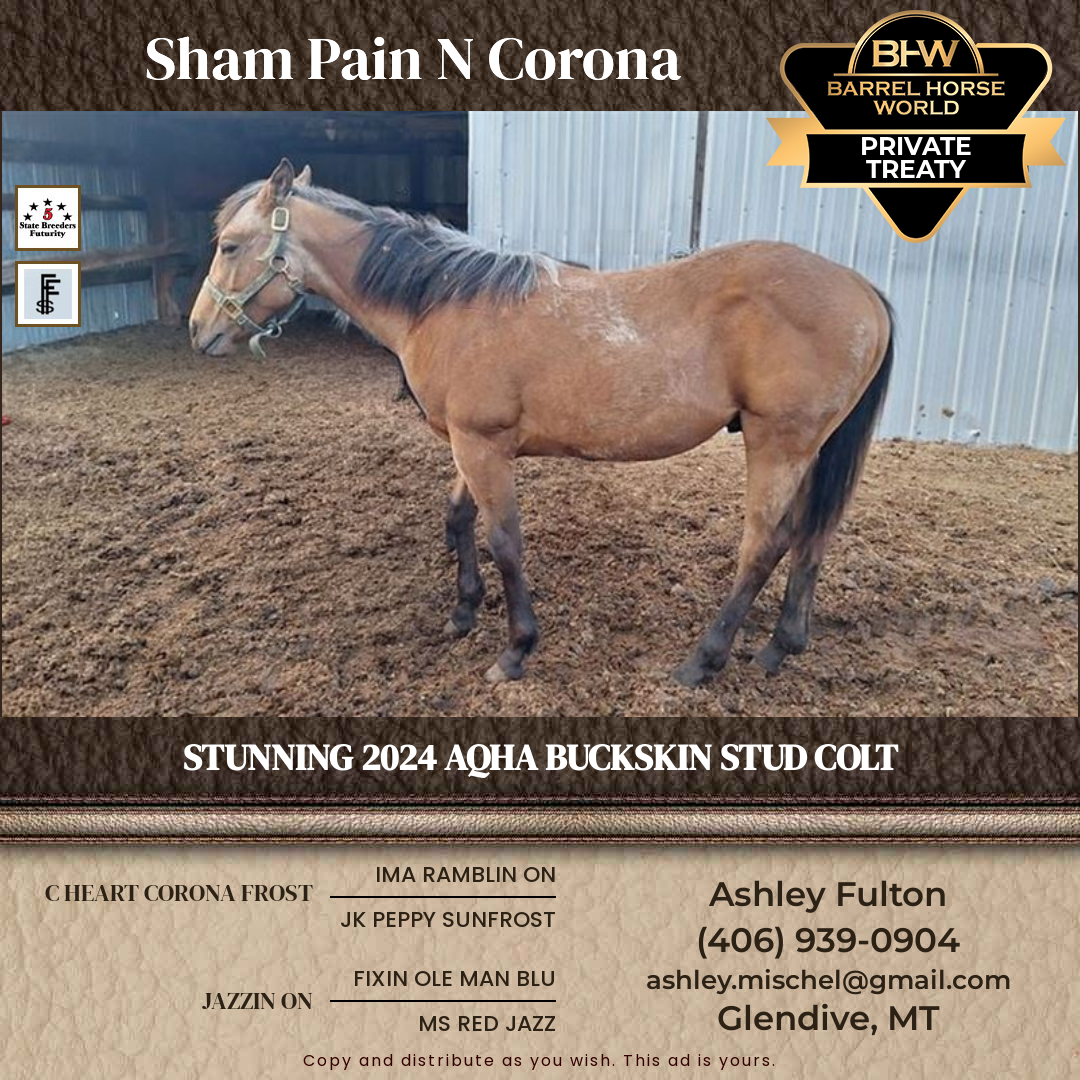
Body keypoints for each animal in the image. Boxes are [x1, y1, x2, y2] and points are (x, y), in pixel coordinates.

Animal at [189, 159, 894, 688]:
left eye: (230, 245)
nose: (199, 332)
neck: (445, 304)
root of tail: (861, 287)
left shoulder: (483, 446)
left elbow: (504, 541)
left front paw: (515, 650)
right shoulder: (466, 444)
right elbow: (458, 519)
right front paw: (462, 613)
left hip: (780, 443)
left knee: (765, 545)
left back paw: (703, 660)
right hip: (810, 448)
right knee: (811, 537)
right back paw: (781, 646)